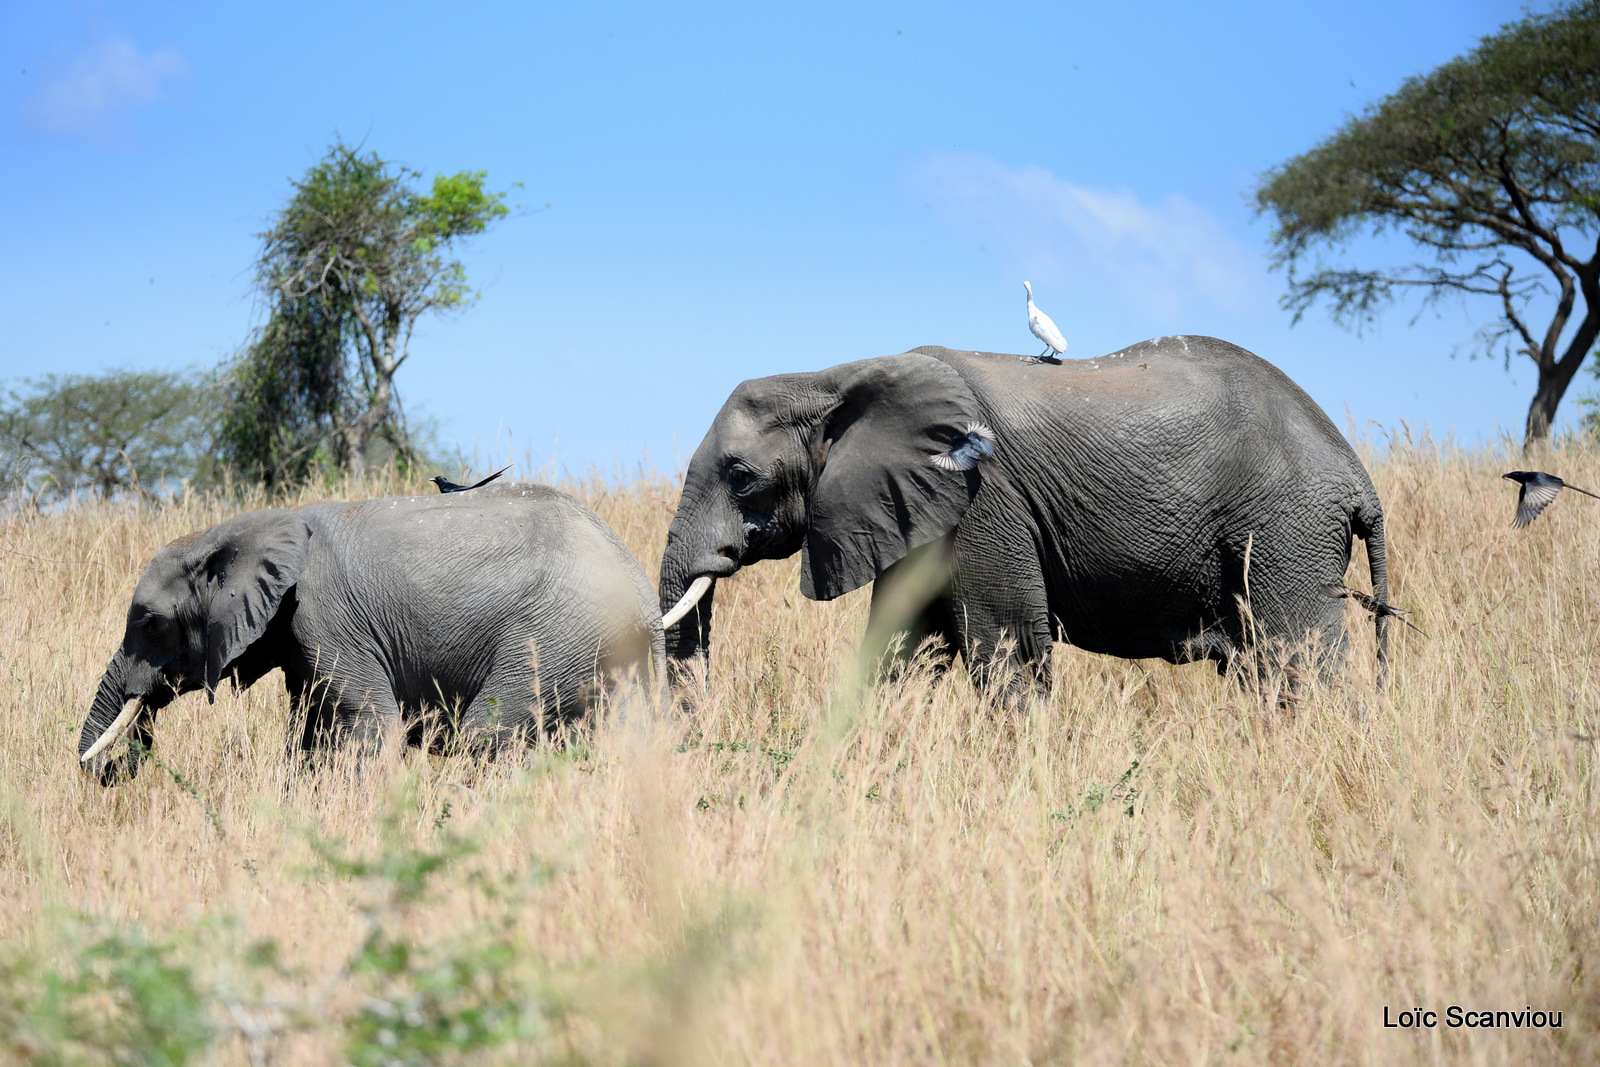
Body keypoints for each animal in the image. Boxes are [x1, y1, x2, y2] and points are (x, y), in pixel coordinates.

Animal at [73, 483, 662, 783]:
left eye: (152, 624)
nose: (119, 762)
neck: (232, 530)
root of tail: (641, 589)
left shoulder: (324, 617)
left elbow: (369, 727)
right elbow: (309, 734)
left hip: (553, 636)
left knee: (486, 737)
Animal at [659, 337, 1388, 697]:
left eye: (741, 475)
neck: (834, 376)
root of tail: (1359, 480)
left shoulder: (984, 501)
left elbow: (1005, 646)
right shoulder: (908, 509)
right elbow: (901, 646)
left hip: (1285, 528)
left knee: (1299, 663)